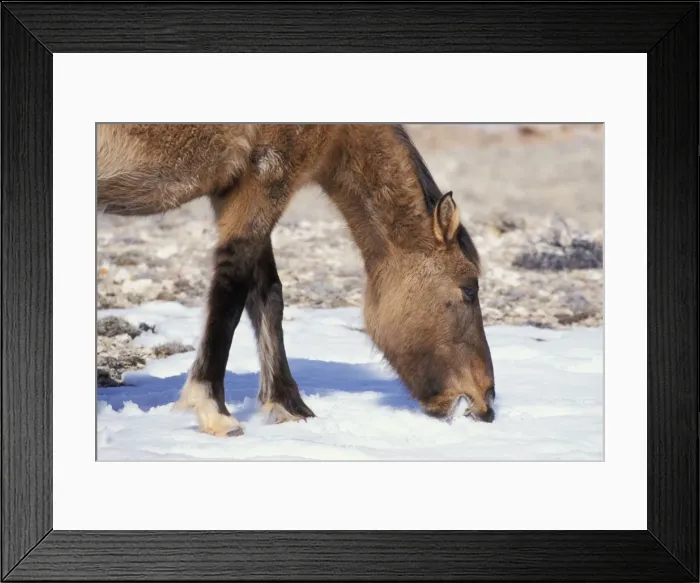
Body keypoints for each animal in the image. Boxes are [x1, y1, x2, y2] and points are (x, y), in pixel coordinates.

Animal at [97, 123, 496, 436]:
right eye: (468, 289)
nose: (487, 401)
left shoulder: (237, 192)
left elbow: (267, 294)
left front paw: (287, 404)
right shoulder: (267, 178)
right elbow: (232, 289)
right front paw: (214, 410)